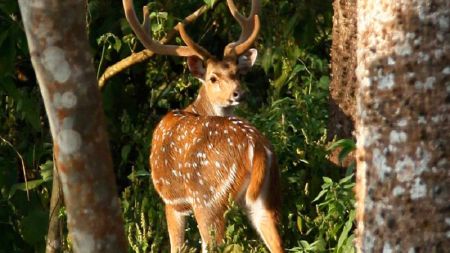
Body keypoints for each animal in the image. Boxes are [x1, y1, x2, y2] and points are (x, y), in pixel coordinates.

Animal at [122, 0, 284, 252]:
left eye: (237, 74)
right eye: (213, 78)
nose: (239, 93)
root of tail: (256, 146)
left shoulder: (172, 201)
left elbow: (176, 246)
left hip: (208, 199)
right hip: (267, 197)